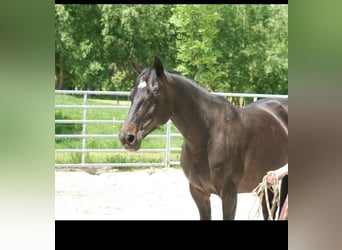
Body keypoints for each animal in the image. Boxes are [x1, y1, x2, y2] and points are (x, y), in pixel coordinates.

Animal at [119, 56, 288, 219]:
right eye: (131, 94)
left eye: (154, 93)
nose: (127, 137)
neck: (207, 137)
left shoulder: (229, 195)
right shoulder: (198, 193)